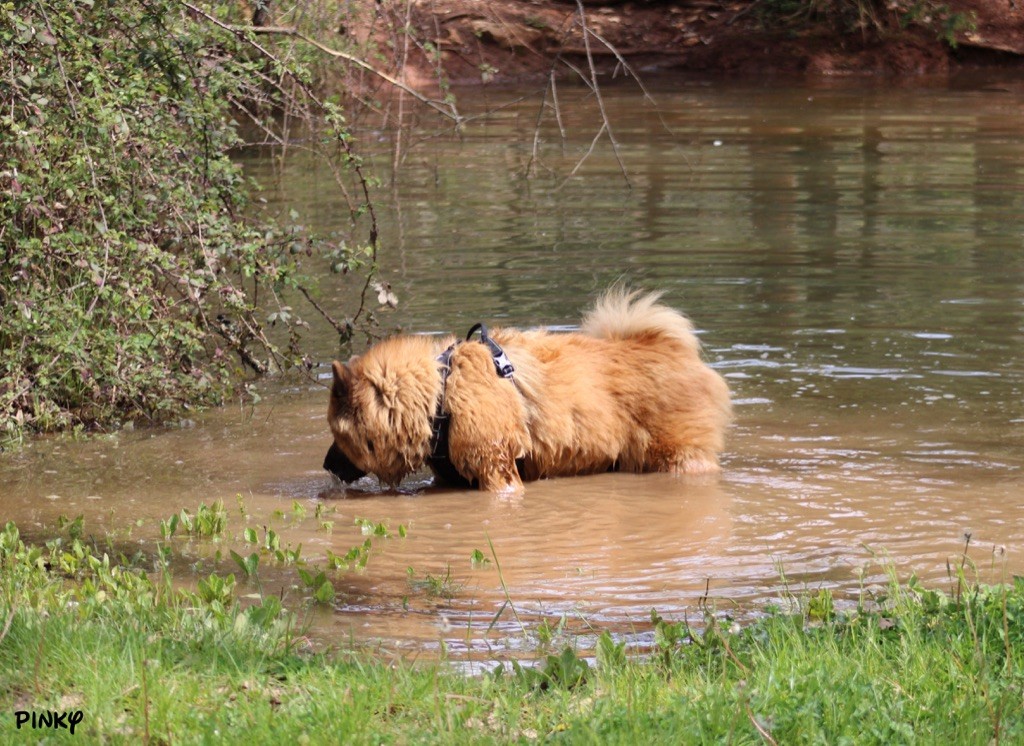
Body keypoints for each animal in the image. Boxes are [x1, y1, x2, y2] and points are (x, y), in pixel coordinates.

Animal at [323, 288, 733, 491]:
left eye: (336, 435)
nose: (326, 464)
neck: (441, 395)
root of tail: (667, 347)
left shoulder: (497, 470)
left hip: (678, 457)